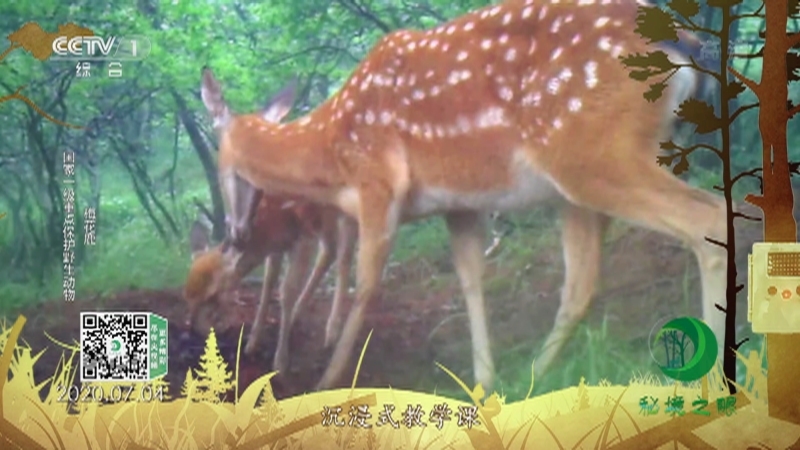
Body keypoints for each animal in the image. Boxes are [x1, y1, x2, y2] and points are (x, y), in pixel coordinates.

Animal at [184, 194, 357, 374]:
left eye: (212, 294)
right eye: (186, 294)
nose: (194, 330)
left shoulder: (305, 237)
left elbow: (287, 292)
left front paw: (281, 360)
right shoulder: (277, 247)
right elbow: (268, 284)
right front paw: (252, 343)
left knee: (345, 257)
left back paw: (332, 330)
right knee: (330, 251)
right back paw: (299, 312)